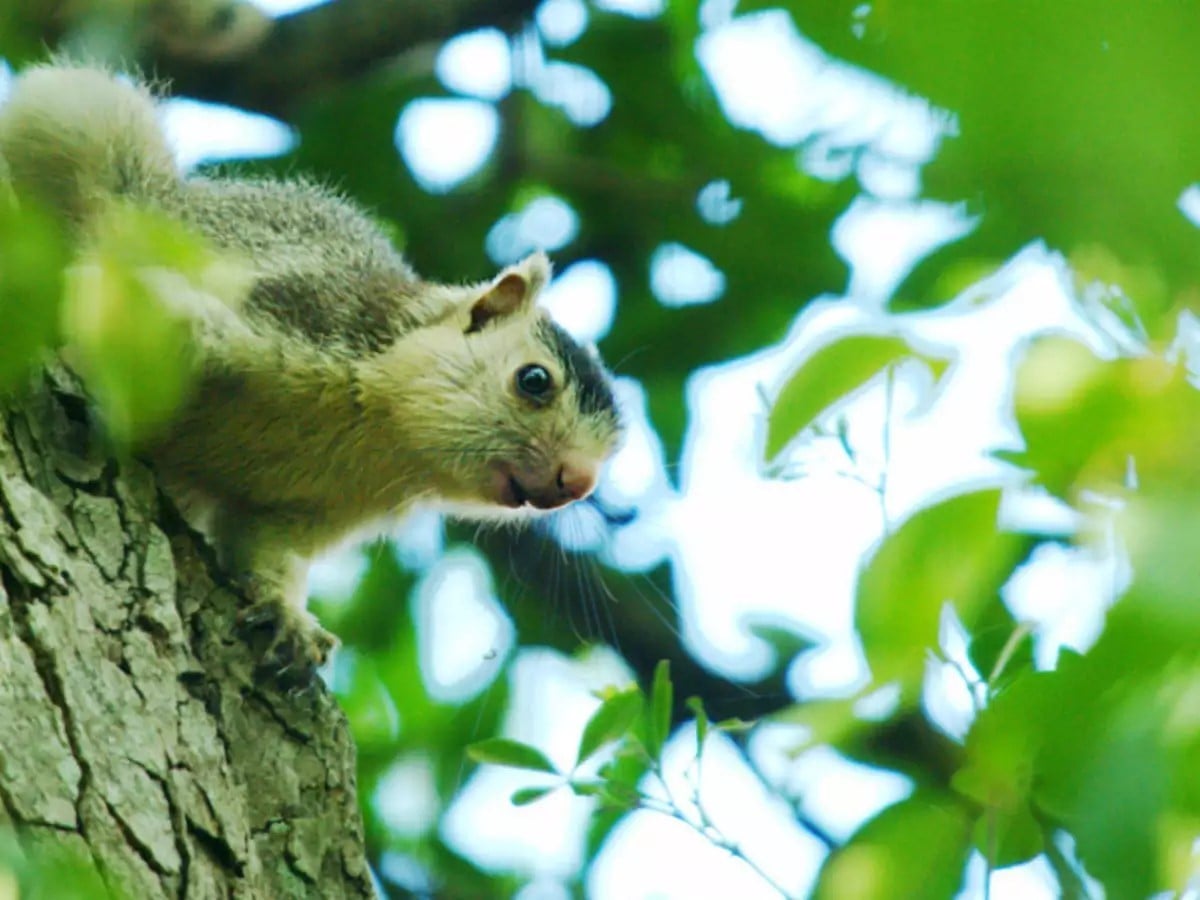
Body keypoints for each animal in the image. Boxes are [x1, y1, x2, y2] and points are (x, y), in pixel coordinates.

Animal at [0, 63, 623, 683]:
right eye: (534, 381)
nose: (577, 482)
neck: (382, 435)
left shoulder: (308, 510)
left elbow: (268, 548)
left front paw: (288, 619)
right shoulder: (304, 311)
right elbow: (147, 315)